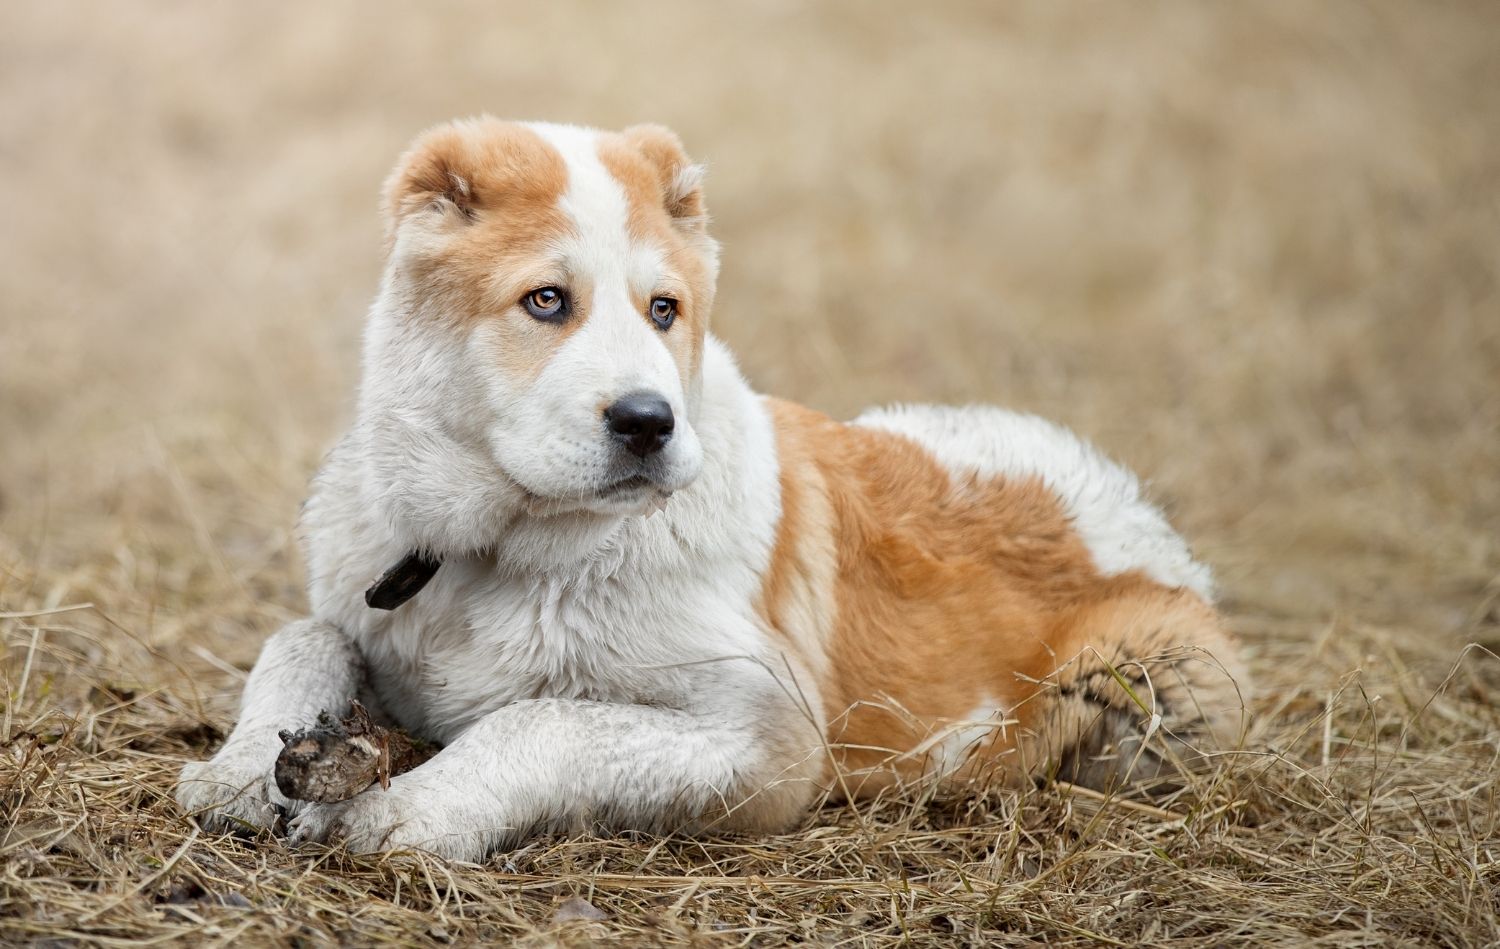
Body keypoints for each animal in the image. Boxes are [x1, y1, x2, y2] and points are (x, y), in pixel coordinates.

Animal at [175, 116, 1248, 857]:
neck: (502, 550)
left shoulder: (768, 737)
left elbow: (543, 718)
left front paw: (407, 810)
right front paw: (242, 771)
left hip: (1161, 697)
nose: (650, 422)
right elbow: (302, 636)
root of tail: (1134, 503)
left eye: (665, 310)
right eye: (546, 301)